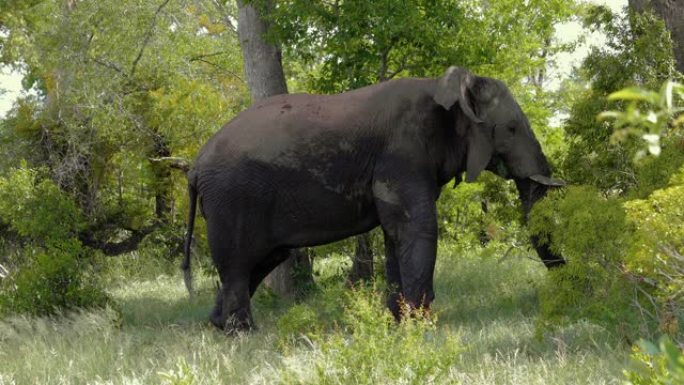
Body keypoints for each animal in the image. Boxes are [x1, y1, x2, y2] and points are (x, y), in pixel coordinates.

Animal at [180, 66, 560, 330]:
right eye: (511, 128)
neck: (443, 85)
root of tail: (194, 168)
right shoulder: (401, 153)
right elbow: (416, 228)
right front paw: (420, 325)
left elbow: (397, 234)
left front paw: (397, 322)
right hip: (232, 198)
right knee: (238, 262)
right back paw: (241, 333)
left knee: (261, 259)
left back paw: (218, 325)